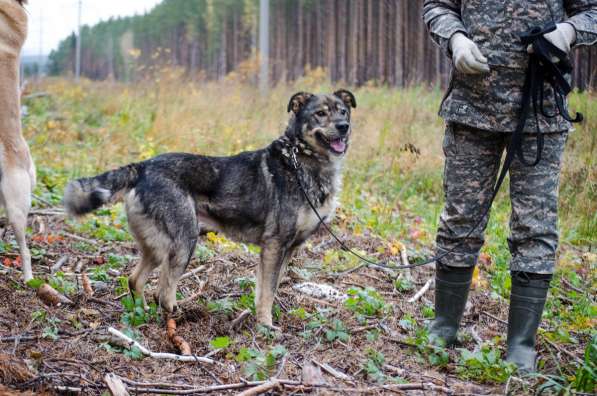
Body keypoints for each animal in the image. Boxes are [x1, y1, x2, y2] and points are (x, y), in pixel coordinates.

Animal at [63, 90, 356, 328]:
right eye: (320, 113)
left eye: (343, 111)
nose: (344, 127)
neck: (301, 159)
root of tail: (143, 166)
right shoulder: (274, 246)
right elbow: (268, 293)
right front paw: (266, 327)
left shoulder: (284, 250)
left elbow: (264, 290)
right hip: (184, 241)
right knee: (163, 291)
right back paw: (176, 317)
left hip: (157, 246)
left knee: (135, 280)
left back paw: (141, 312)